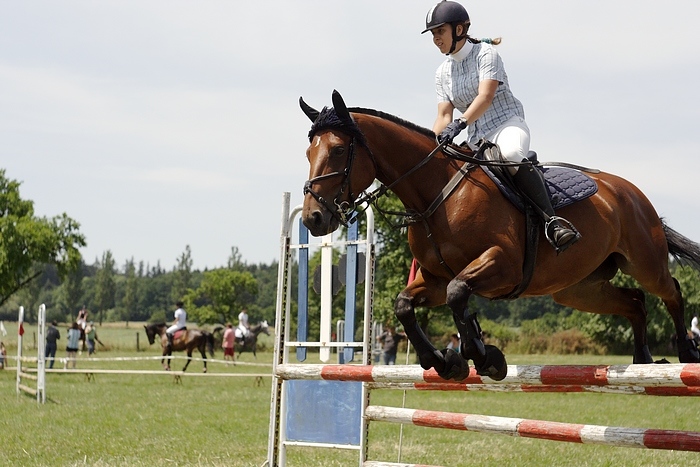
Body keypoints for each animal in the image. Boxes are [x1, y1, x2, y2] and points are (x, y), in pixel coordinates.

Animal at [298, 89, 700, 382]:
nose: (313, 218)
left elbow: (459, 293)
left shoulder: (501, 264)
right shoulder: (434, 279)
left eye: (338, 150)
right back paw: (643, 359)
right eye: (308, 151)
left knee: (671, 291)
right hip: (580, 289)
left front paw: (483, 356)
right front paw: (446, 361)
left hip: (644, 262)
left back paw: (686, 352)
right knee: (635, 302)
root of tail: (629, 191)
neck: (436, 193)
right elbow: (405, 305)